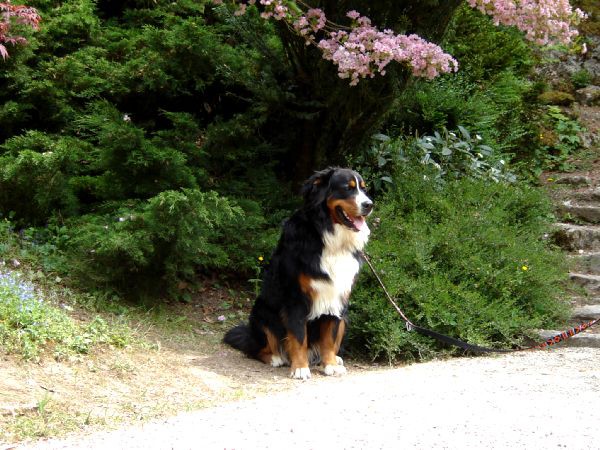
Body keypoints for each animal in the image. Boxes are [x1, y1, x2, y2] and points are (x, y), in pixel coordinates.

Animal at [225, 168, 376, 380]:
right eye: (348, 188)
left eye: (364, 189)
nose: (369, 205)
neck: (330, 239)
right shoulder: (295, 298)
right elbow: (298, 337)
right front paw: (300, 368)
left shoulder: (337, 297)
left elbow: (329, 337)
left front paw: (330, 364)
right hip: (262, 313)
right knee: (255, 348)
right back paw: (275, 358)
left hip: (345, 318)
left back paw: (334, 359)